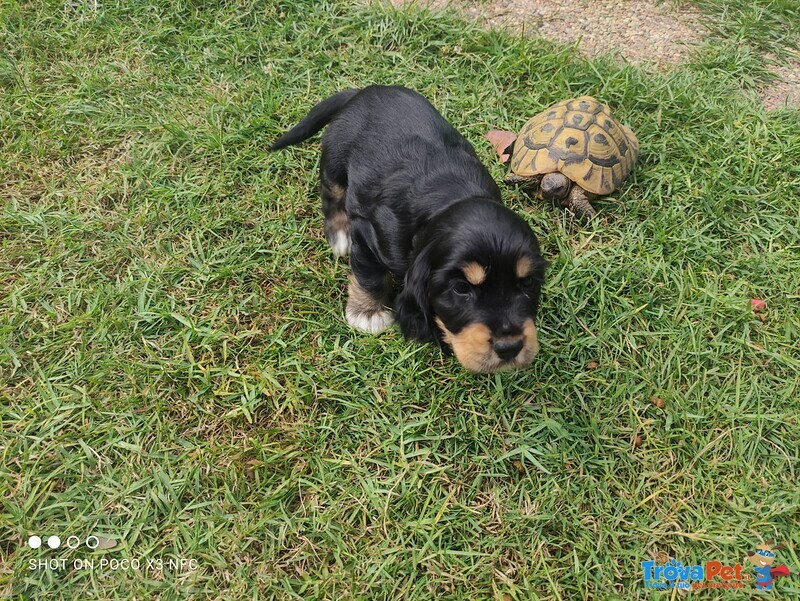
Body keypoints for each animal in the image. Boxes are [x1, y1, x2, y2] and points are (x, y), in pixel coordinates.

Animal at [272, 84, 548, 370]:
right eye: (462, 288)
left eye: (527, 282)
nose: (510, 347)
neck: (450, 197)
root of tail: (363, 91)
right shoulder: (368, 234)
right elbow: (369, 276)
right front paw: (367, 314)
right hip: (336, 156)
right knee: (331, 190)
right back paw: (339, 235)